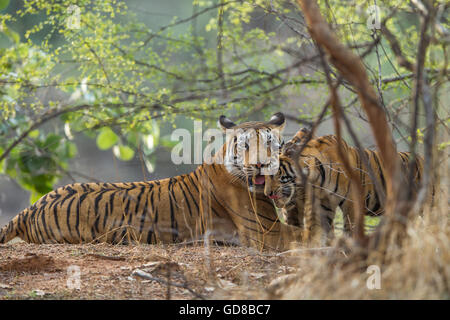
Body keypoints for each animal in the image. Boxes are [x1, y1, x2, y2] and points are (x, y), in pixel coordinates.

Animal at [262, 129, 424, 246]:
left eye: (274, 173)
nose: (267, 193)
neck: (317, 176)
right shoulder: (323, 203)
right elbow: (320, 229)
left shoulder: (352, 203)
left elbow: (350, 228)